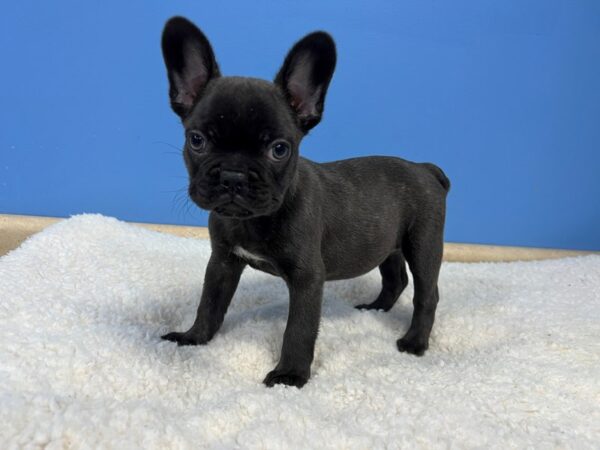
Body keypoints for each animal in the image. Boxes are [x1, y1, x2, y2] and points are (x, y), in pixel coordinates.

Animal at [159, 17, 450, 388]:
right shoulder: (222, 262)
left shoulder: (307, 278)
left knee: (427, 293)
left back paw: (414, 342)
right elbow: (209, 303)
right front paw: (193, 338)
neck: (253, 219)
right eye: (196, 141)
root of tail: (425, 168)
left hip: (423, 243)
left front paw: (289, 375)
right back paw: (376, 308)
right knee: (395, 277)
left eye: (279, 149)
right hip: (389, 241)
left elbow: (297, 329)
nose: (233, 176)